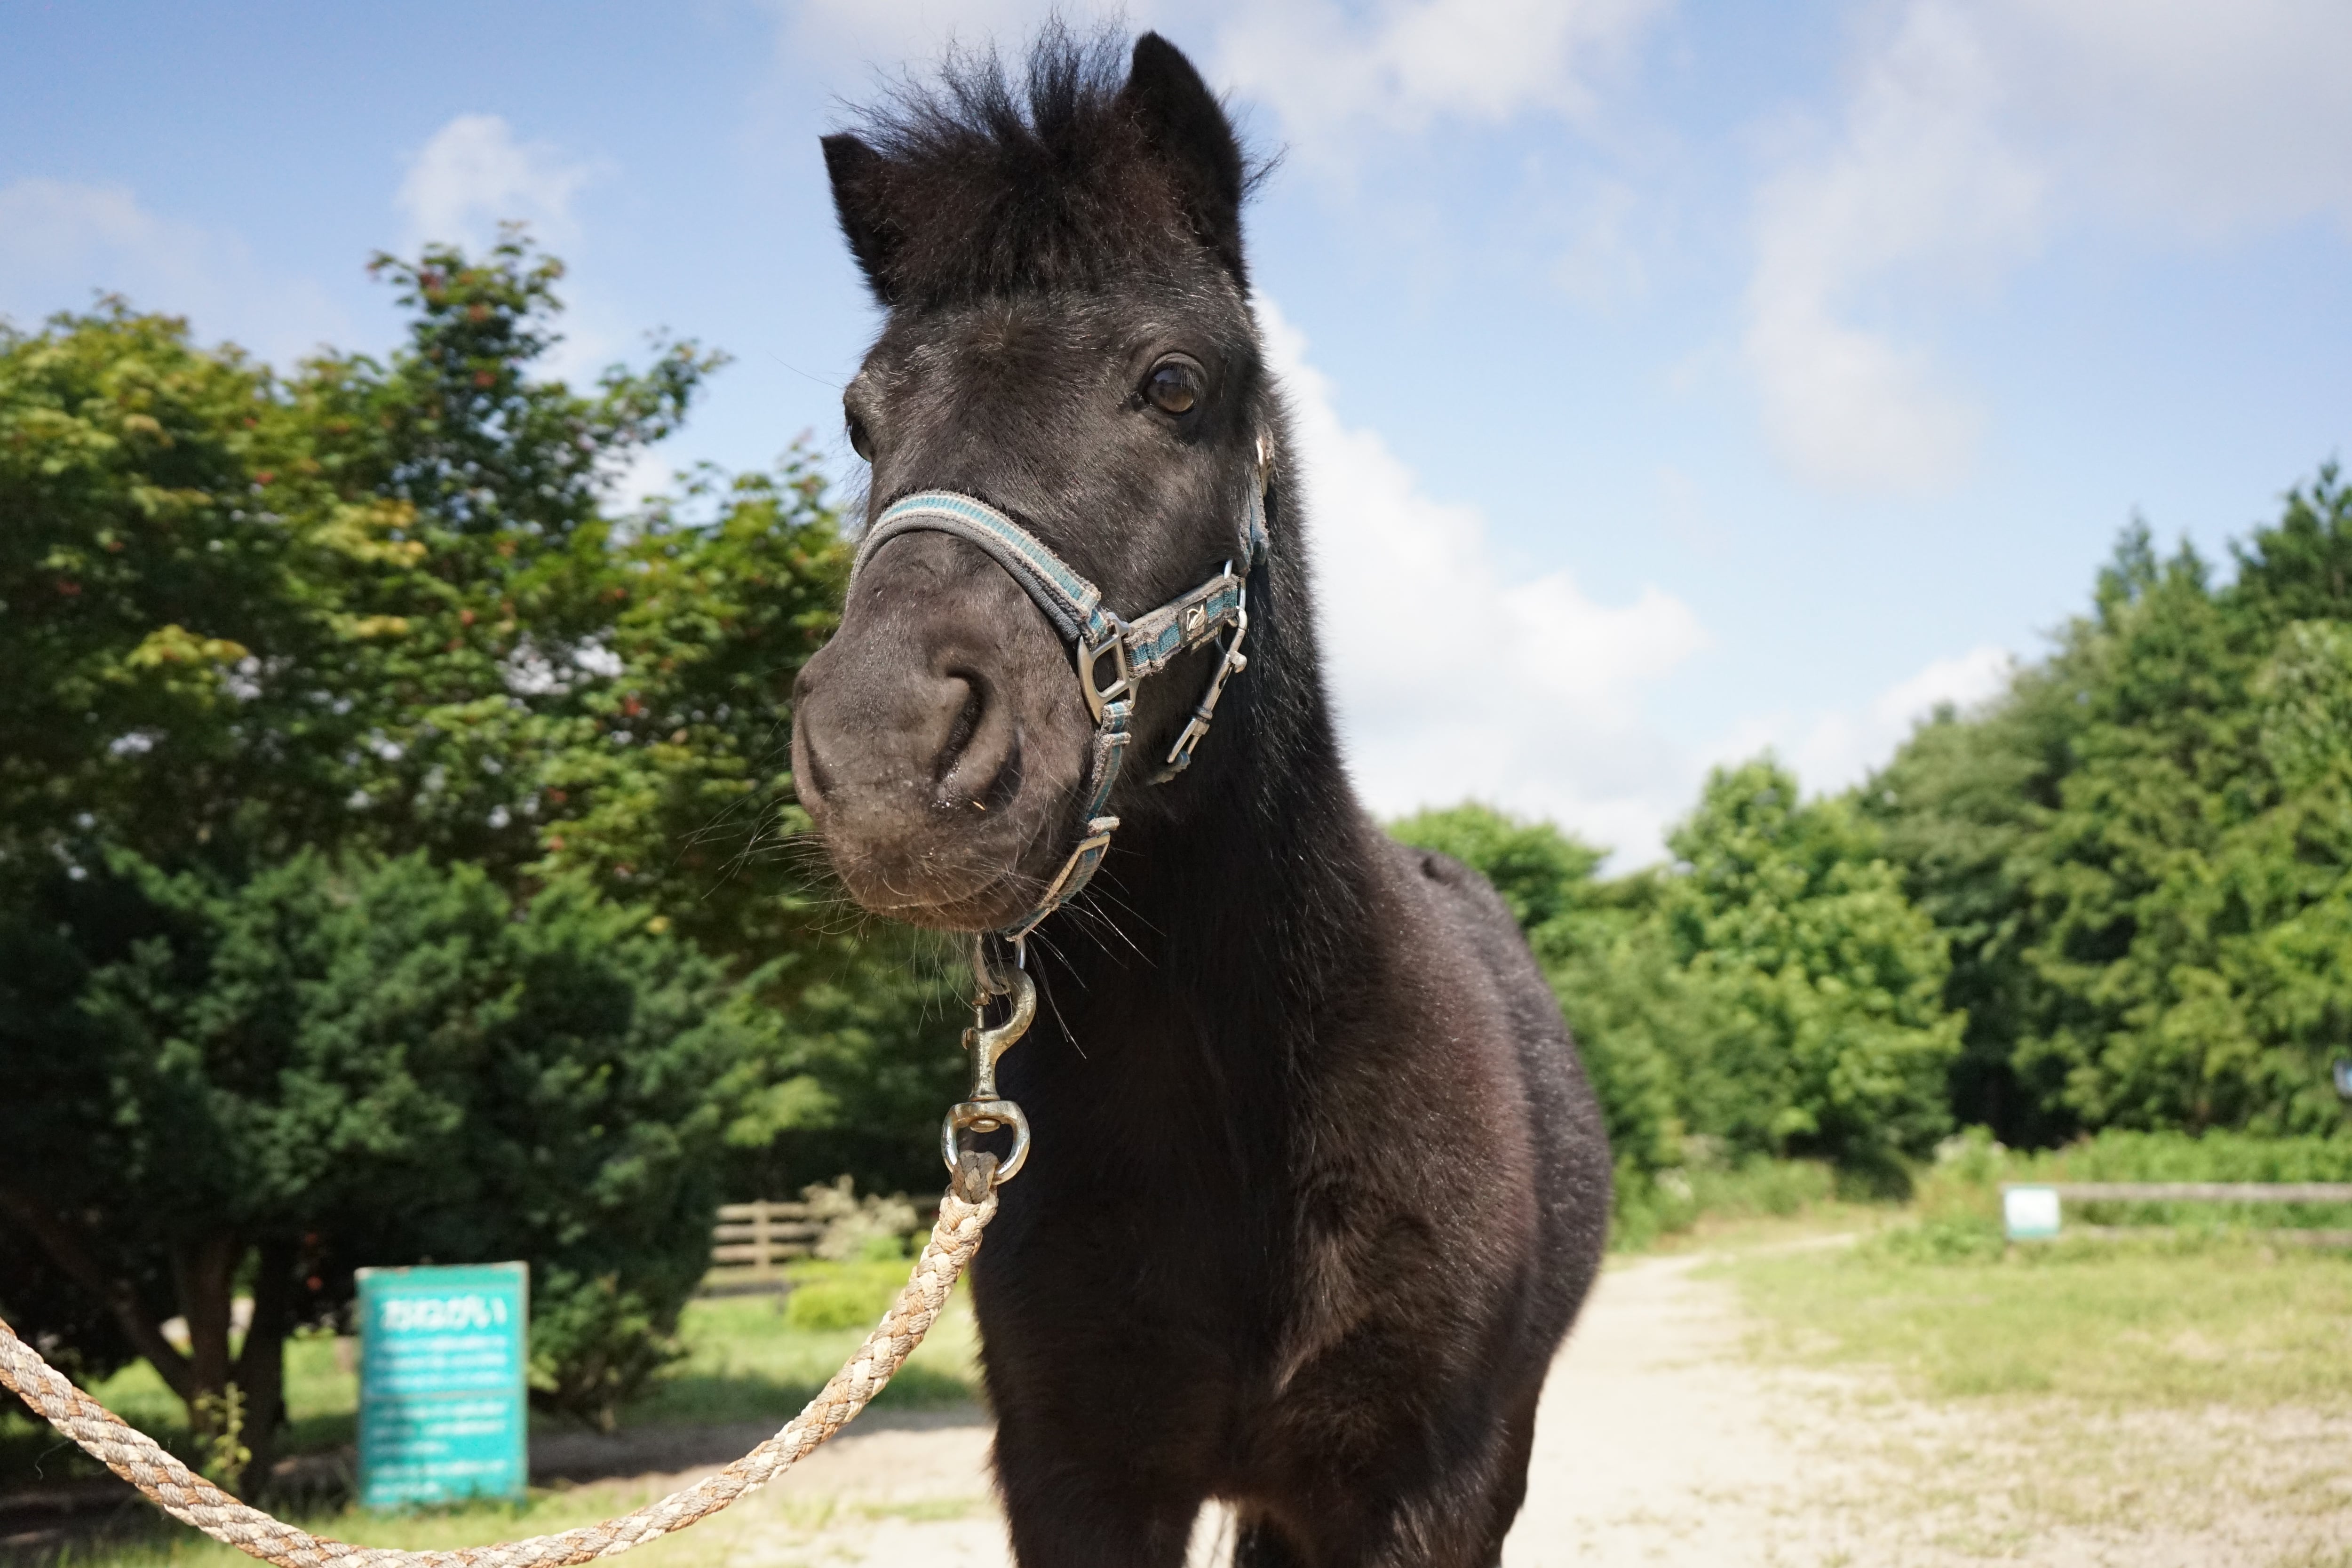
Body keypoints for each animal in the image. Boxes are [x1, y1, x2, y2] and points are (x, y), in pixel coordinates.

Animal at [789, 30, 1611, 1567]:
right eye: (863, 420)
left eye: (1174, 384)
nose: (884, 749)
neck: (1232, 1114)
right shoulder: (1077, 1473)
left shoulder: (1437, 1484)